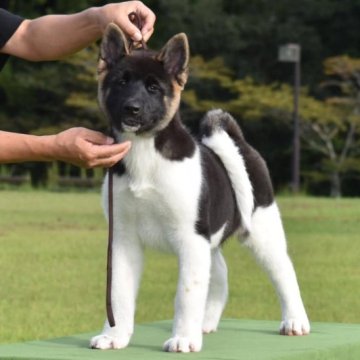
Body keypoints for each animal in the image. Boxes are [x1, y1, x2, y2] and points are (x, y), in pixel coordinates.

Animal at [90, 23, 310, 352]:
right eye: (121, 82)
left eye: (154, 88)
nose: (131, 109)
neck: (145, 153)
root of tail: (241, 143)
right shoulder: (124, 239)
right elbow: (118, 292)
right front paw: (114, 336)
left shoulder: (190, 237)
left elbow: (186, 293)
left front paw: (182, 338)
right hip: (210, 239)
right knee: (219, 273)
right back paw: (206, 323)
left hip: (262, 230)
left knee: (284, 272)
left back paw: (295, 321)